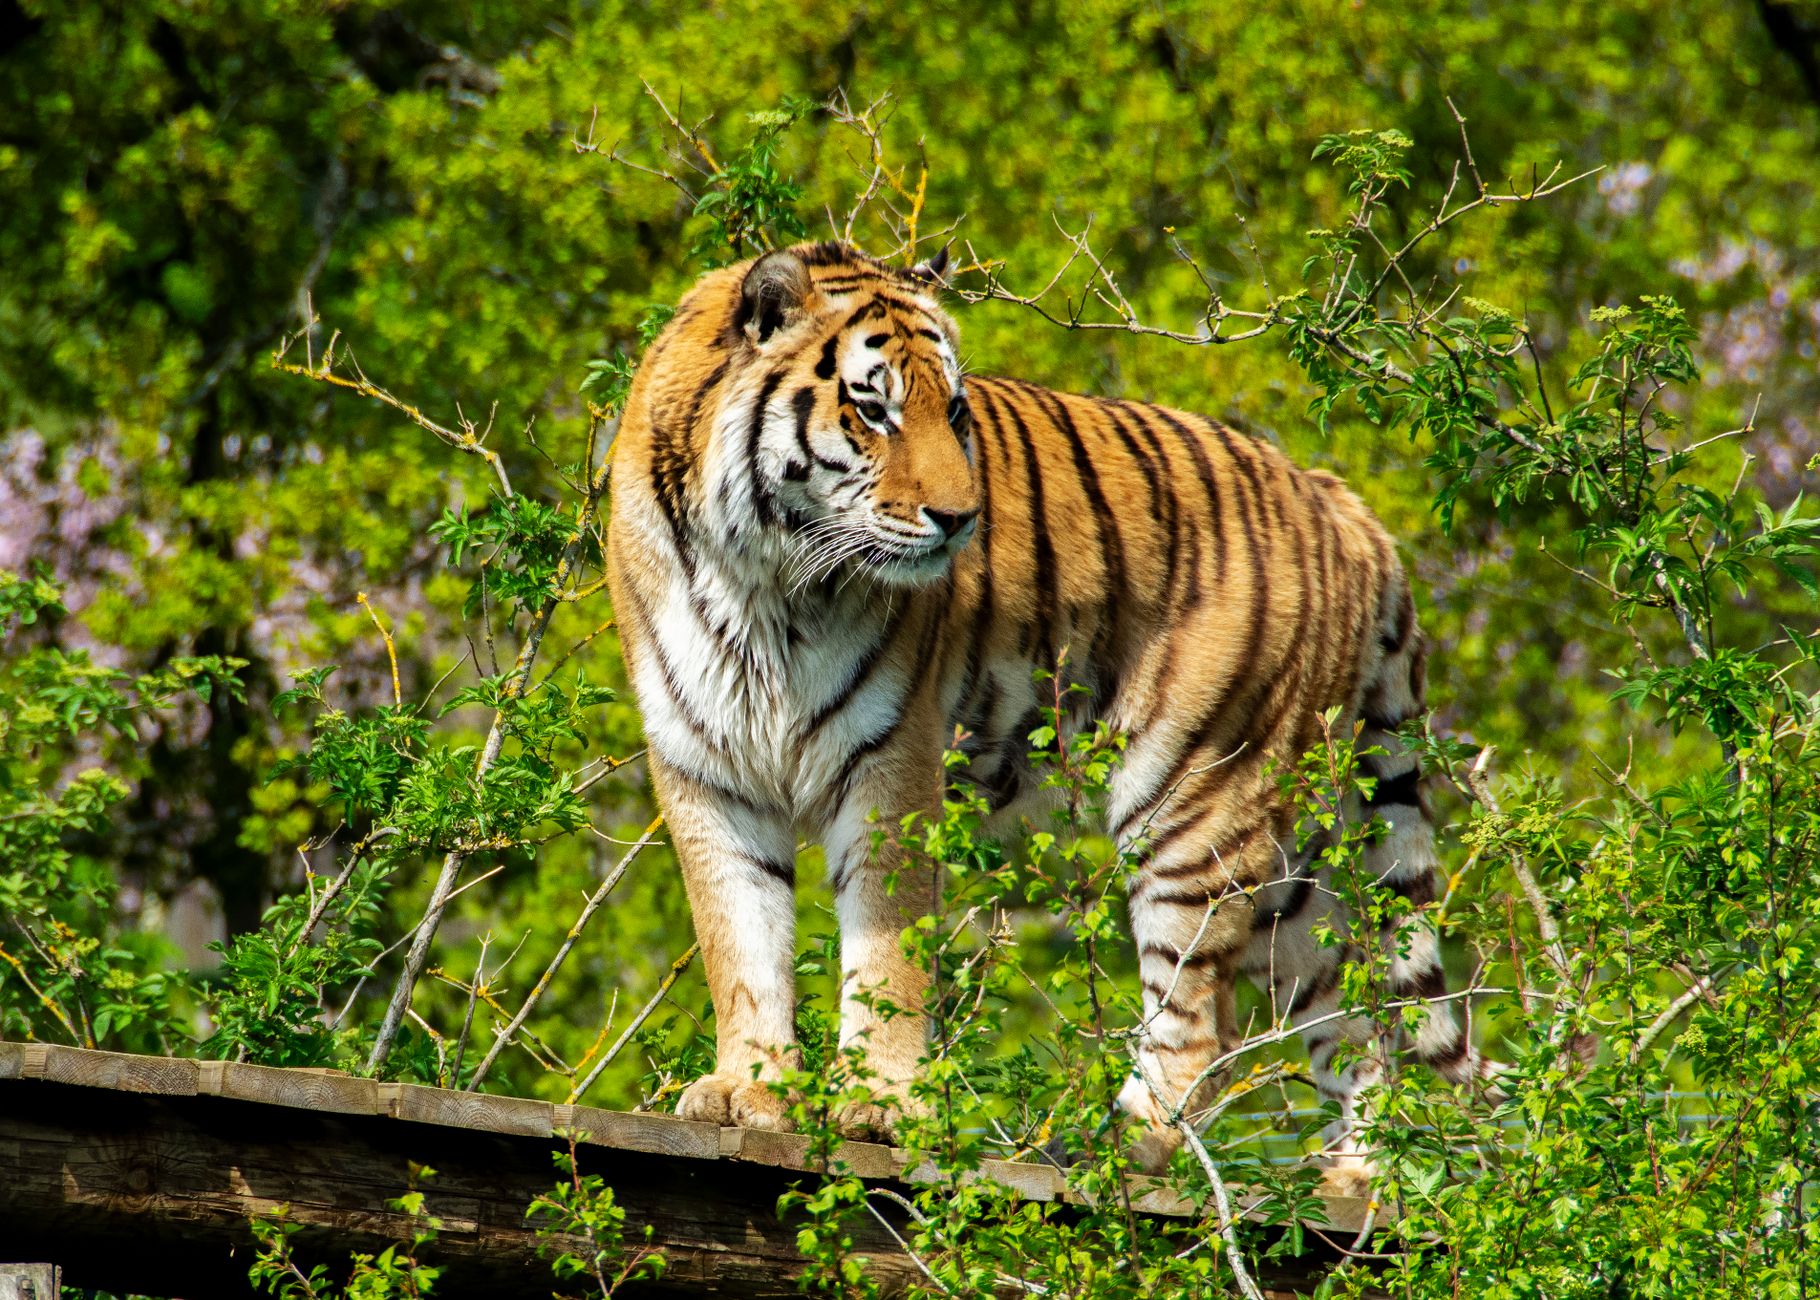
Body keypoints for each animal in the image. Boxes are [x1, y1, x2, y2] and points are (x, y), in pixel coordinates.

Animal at [604, 239, 1486, 1186]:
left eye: (952, 409)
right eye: (873, 409)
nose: (960, 520)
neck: (762, 576)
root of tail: (1339, 502)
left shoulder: (889, 756)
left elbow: (887, 949)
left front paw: (882, 1106)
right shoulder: (706, 767)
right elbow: (741, 944)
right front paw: (748, 1093)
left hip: (1199, 795)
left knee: (1202, 1017)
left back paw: (1123, 1141)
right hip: (1298, 867)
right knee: (1354, 1013)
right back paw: (1363, 1180)